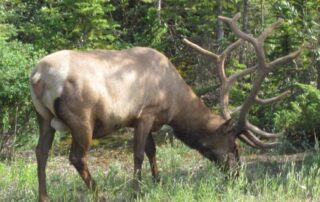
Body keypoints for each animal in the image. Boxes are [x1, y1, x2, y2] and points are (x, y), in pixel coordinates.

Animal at [31, 13, 302, 201]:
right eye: (234, 146)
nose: (238, 175)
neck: (174, 103)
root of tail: (37, 76)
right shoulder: (146, 113)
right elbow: (139, 154)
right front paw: (137, 192)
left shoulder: (144, 119)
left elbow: (152, 151)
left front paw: (158, 181)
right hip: (82, 118)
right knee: (77, 157)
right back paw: (101, 195)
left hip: (42, 116)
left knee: (40, 152)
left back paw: (44, 196)